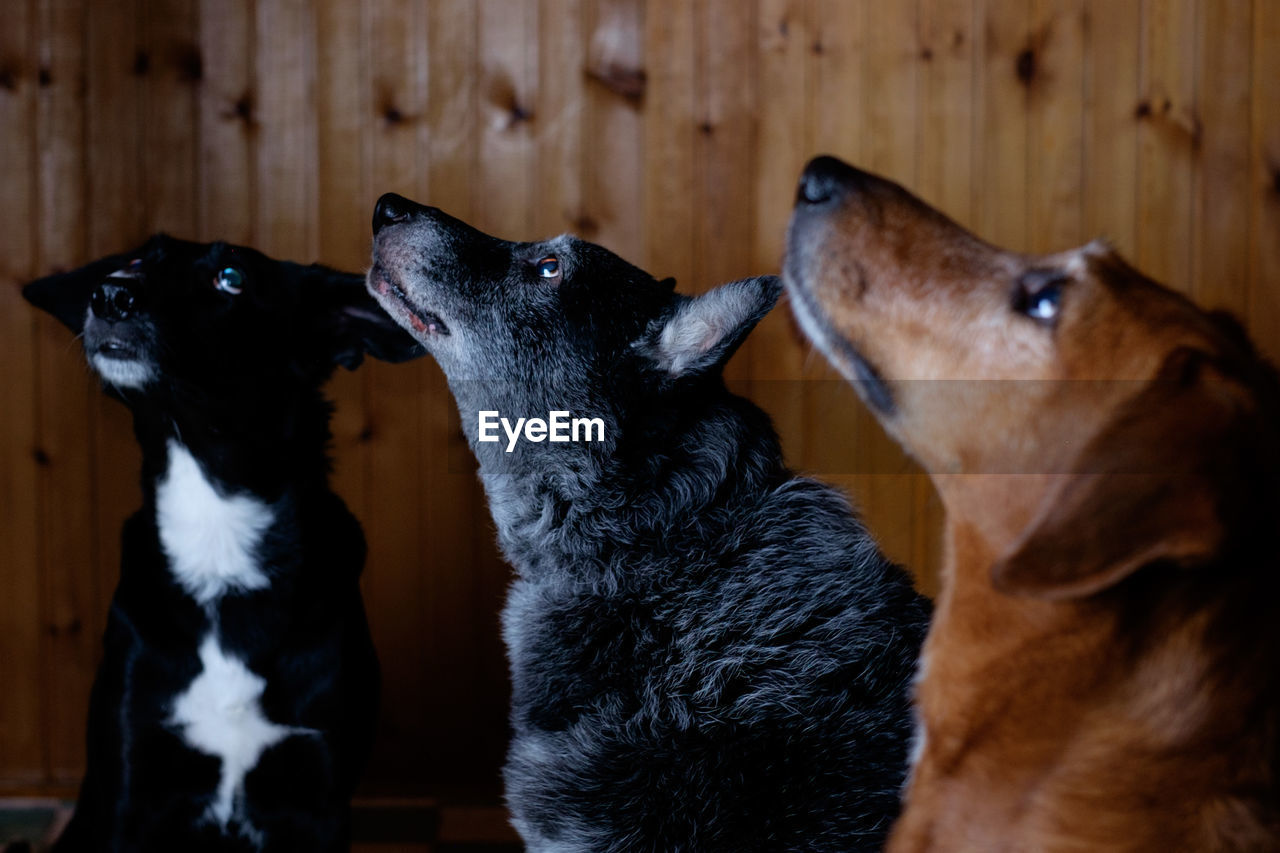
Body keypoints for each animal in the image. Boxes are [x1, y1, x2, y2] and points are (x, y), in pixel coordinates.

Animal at [23, 234, 424, 850]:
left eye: (231, 278)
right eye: (137, 260)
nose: (110, 294)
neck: (216, 524)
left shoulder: (319, 798)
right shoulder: (127, 785)